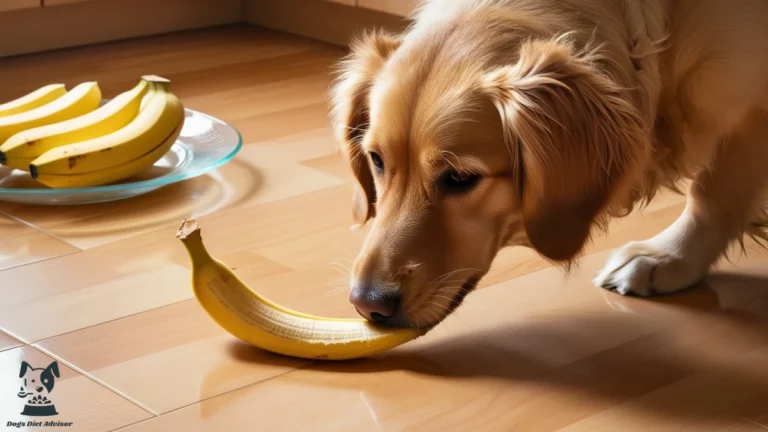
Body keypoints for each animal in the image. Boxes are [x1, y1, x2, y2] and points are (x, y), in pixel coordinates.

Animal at [330, 0, 768, 328]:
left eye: (460, 177)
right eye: (376, 160)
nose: (368, 303)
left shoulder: (752, 105)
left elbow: (711, 193)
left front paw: (671, 257)